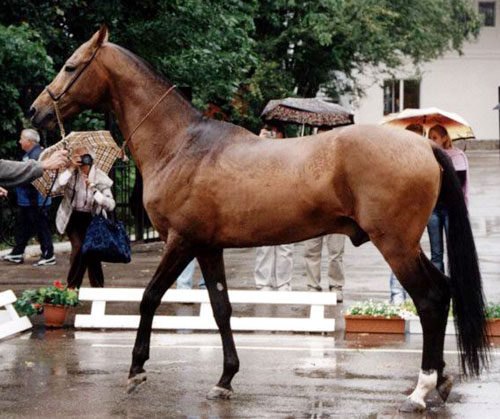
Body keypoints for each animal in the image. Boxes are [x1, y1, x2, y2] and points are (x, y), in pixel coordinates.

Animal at [29, 27, 488, 413]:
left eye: (71, 65)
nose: (36, 111)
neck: (181, 144)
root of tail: (425, 146)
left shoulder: (181, 242)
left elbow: (150, 297)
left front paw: (137, 369)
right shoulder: (208, 247)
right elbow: (221, 309)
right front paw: (225, 378)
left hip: (395, 245)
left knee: (430, 299)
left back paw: (421, 389)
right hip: (405, 245)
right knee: (443, 292)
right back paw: (441, 382)